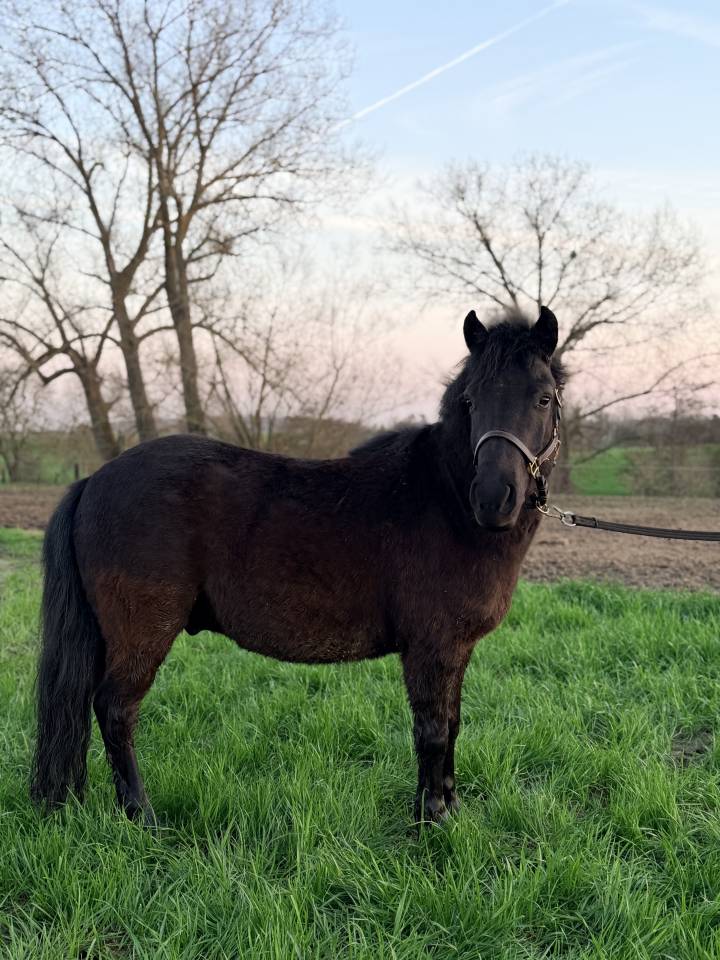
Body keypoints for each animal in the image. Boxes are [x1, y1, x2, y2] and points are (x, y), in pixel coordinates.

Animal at [31, 306, 565, 826]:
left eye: (543, 399)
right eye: (471, 401)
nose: (494, 499)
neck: (445, 500)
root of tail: (94, 481)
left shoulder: (454, 650)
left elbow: (451, 725)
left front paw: (448, 809)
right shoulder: (431, 648)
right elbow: (432, 730)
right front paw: (431, 820)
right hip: (142, 633)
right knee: (116, 709)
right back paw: (140, 815)